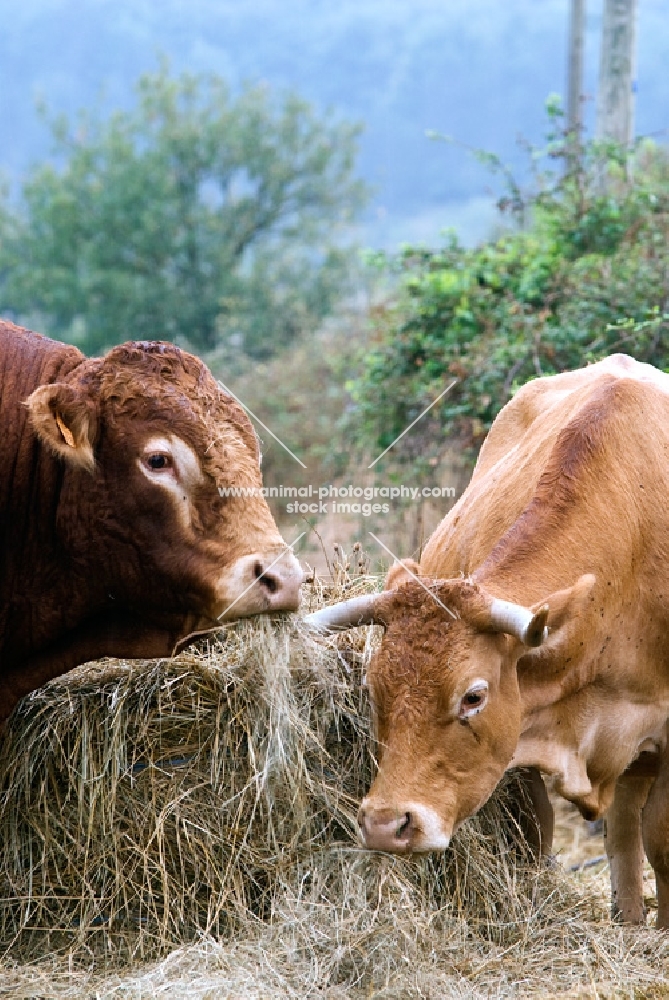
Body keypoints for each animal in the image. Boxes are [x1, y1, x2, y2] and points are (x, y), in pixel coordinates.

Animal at [310, 356, 668, 924]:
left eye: (473, 696)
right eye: (373, 689)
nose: (387, 825)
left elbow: (661, 838)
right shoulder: (523, 725)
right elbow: (536, 830)